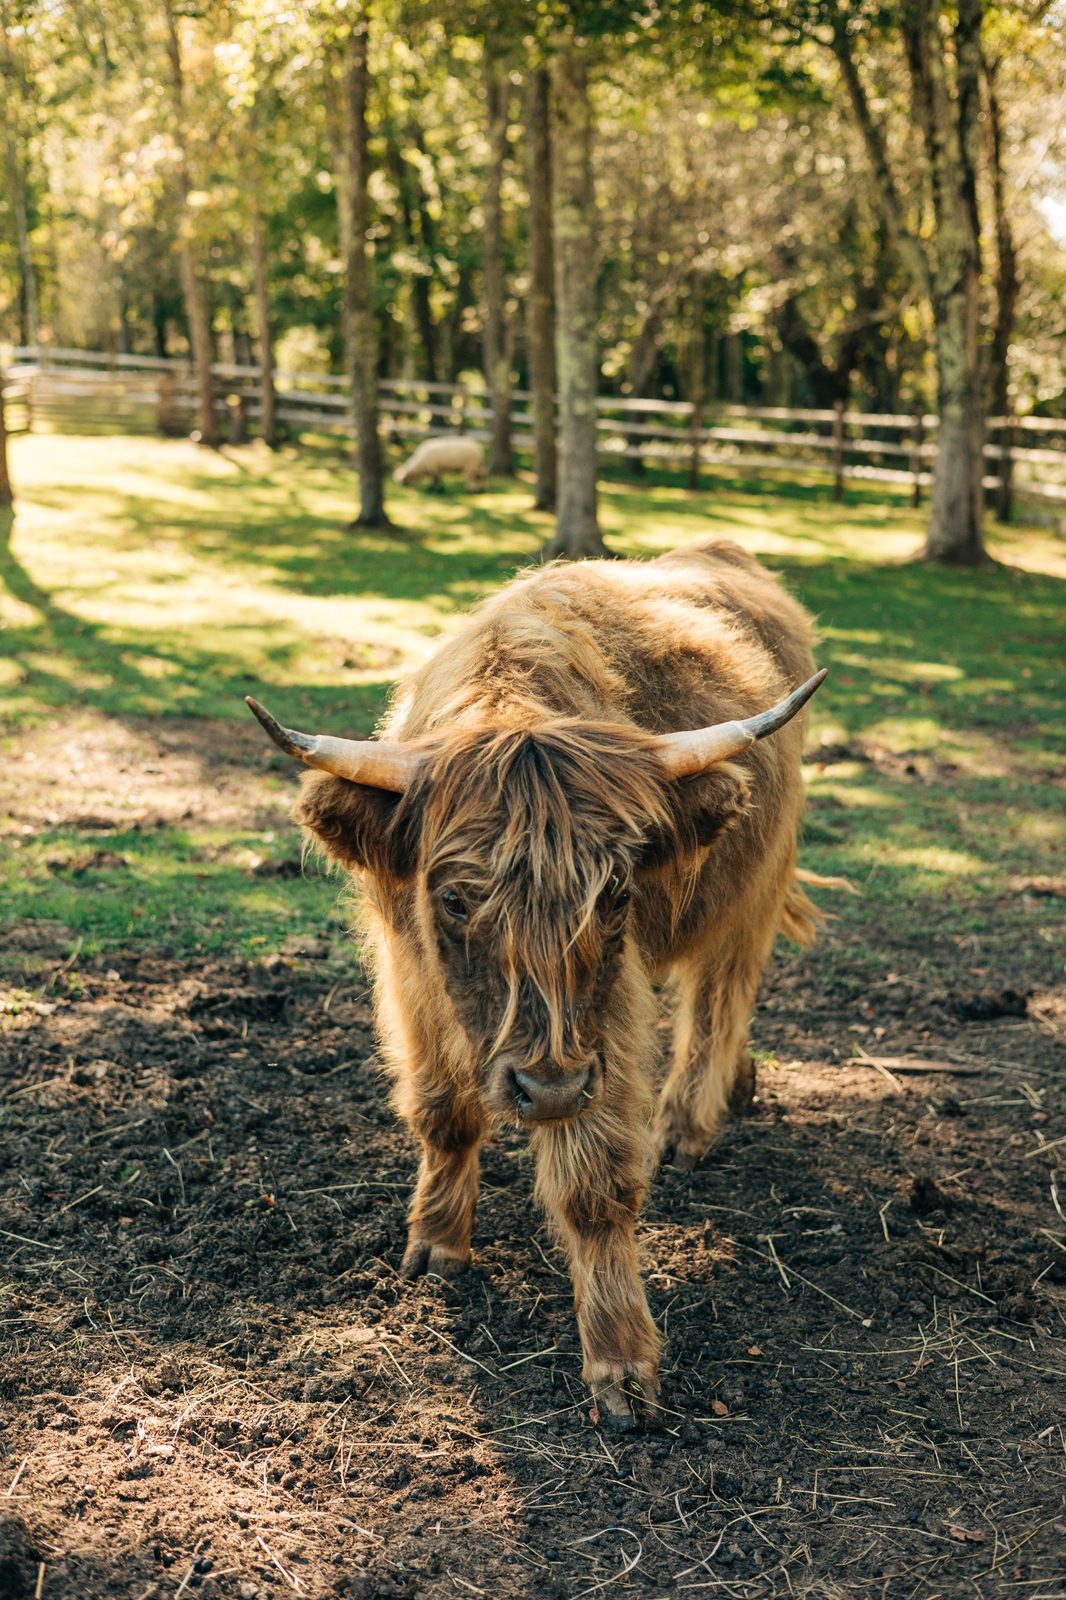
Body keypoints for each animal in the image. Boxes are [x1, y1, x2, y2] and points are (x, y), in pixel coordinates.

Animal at [247, 538, 838, 1427]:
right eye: (456, 898)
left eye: (617, 893)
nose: (547, 1090)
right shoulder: (412, 978)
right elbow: (443, 1112)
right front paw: (436, 1243)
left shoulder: (603, 1017)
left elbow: (595, 1184)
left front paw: (621, 1366)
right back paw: (740, 1089)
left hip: (754, 886)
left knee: (719, 997)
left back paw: (690, 1123)